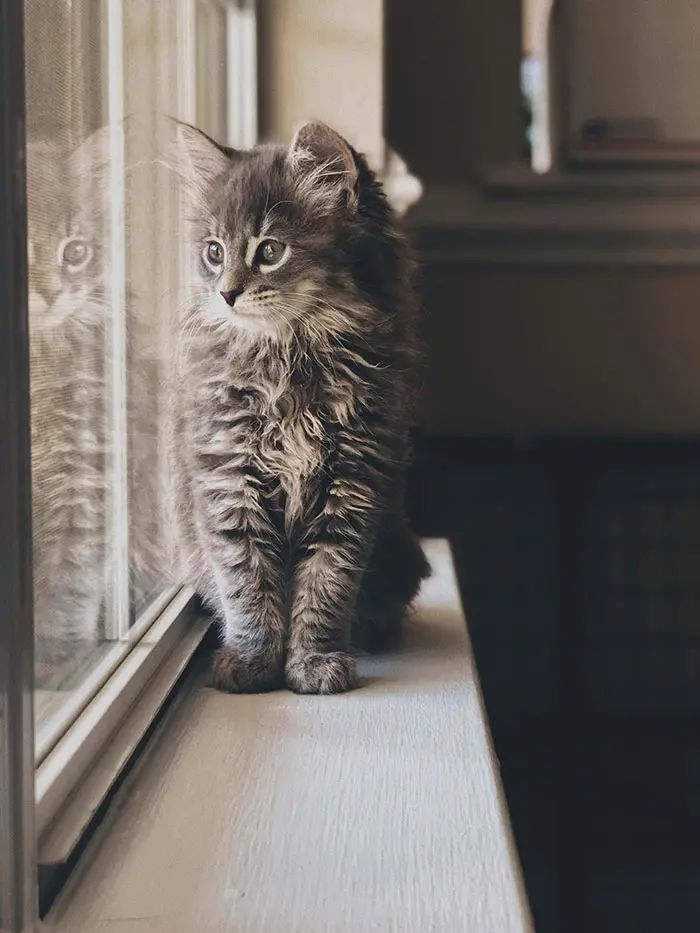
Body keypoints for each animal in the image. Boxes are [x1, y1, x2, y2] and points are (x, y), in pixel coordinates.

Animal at [172, 120, 430, 696]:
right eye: (214, 253)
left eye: (269, 251)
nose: (226, 294)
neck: (292, 356)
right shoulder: (229, 477)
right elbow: (247, 581)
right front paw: (251, 663)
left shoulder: (354, 482)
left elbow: (327, 582)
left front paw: (314, 661)